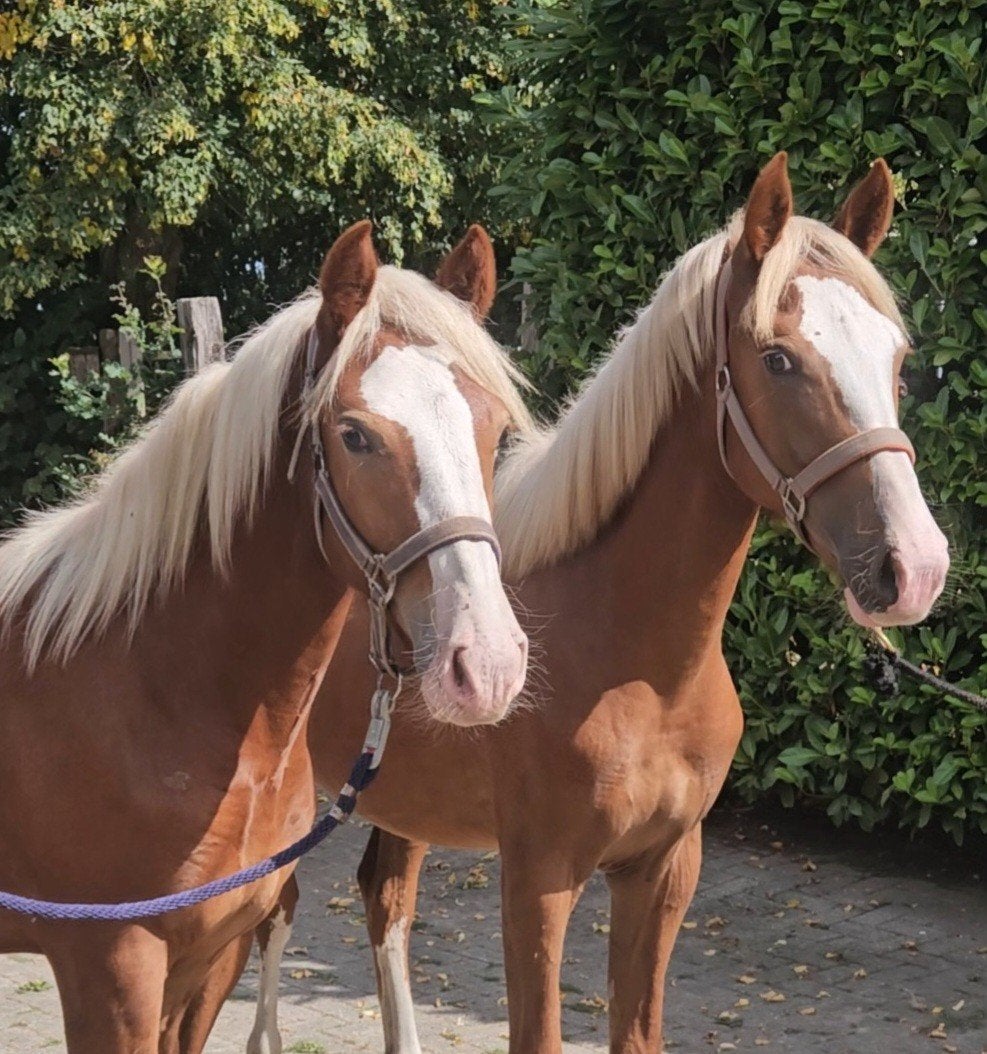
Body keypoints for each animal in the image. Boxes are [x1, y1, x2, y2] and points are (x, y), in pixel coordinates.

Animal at [243, 153, 951, 1054]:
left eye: (895, 358)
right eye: (777, 359)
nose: (913, 566)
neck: (638, 667)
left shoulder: (664, 870)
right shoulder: (538, 879)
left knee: (383, 900)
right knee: (276, 915)